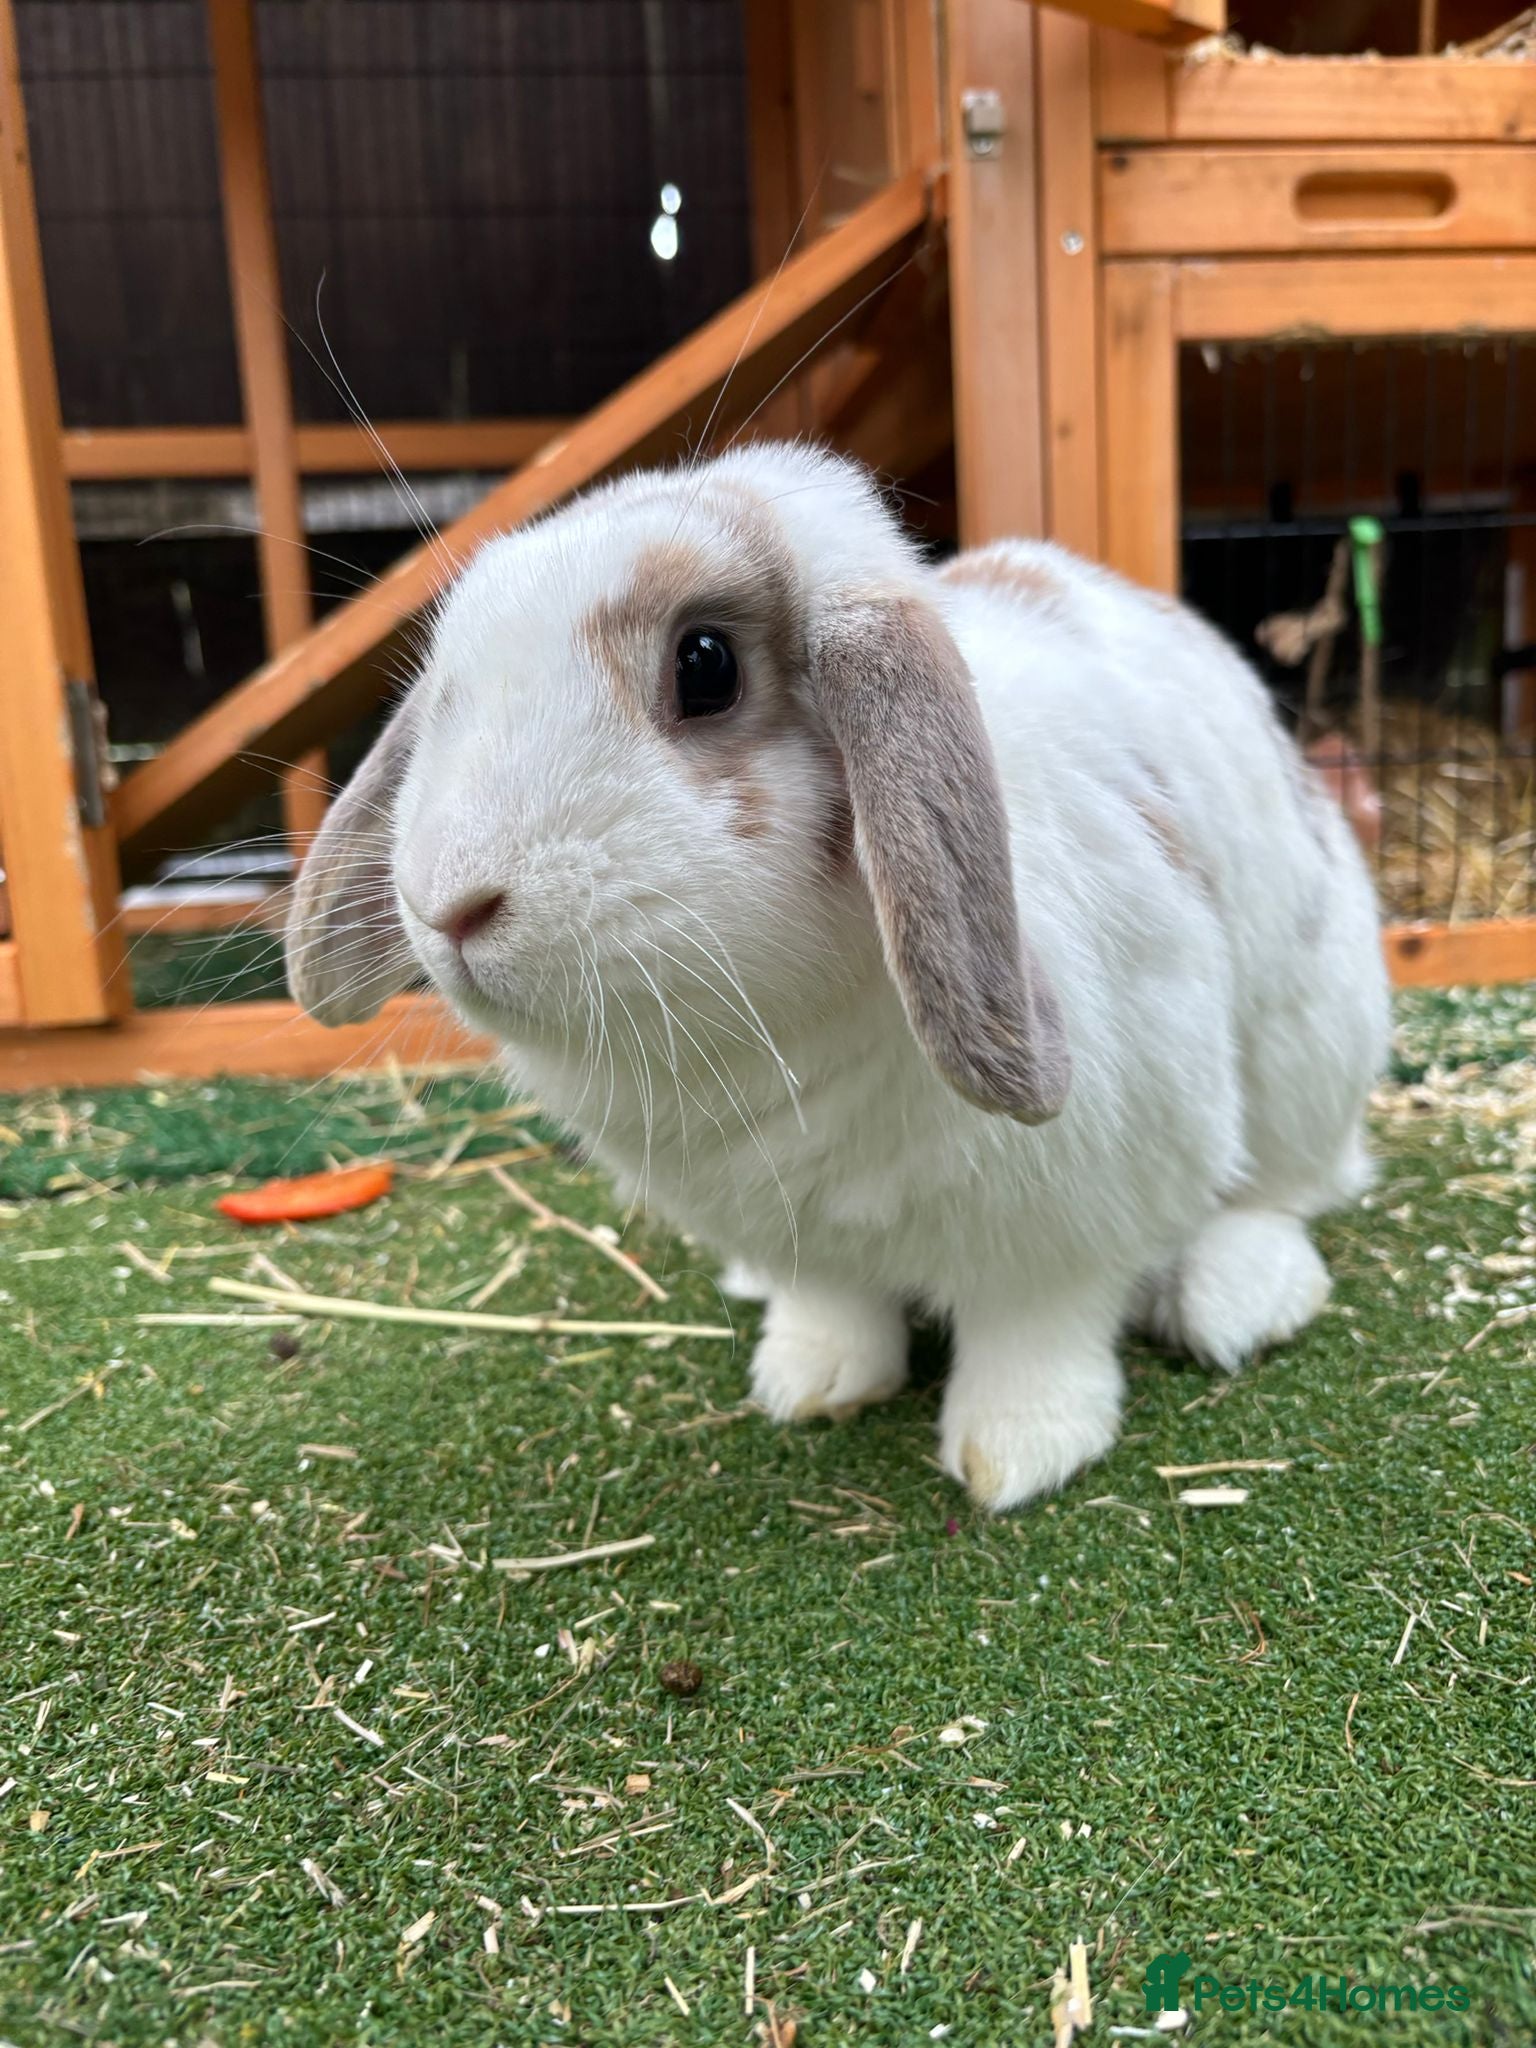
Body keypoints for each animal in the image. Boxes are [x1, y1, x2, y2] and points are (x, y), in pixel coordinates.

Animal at [286, 442, 1390, 1511]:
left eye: (705, 665)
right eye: (447, 682)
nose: (449, 903)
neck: (771, 1030)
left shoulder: (1079, 1205)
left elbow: (1037, 1325)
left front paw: (1019, 1449)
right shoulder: (799, 1228)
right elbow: (835, 1303)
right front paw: (811, 1381)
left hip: (1310, 1045)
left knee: (1291, 1188)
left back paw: (1236, 1298)